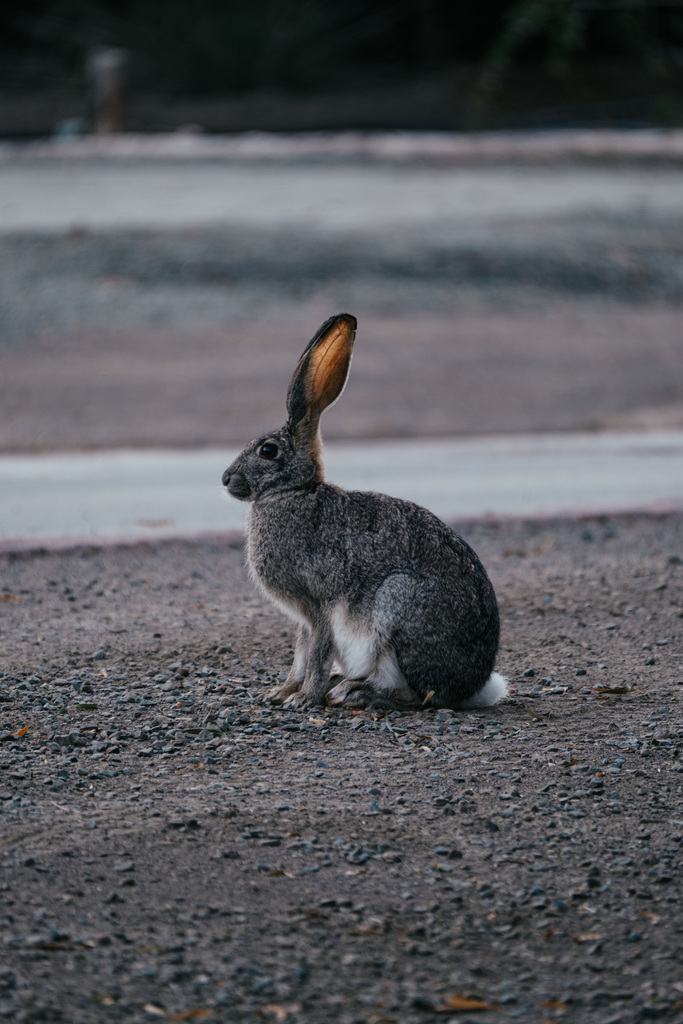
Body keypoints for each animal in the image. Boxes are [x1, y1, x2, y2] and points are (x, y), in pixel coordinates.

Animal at [222, 311, 505, 712]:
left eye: (268, 450)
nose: (226, 479)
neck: (294, 491)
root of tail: (473, 687)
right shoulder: (304, 617)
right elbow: (300, 651)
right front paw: (282, 691)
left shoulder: (319, 605)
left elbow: (317, 652)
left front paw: (303, 699)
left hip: (396, 605)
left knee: (419, 695)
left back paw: (352, 692)